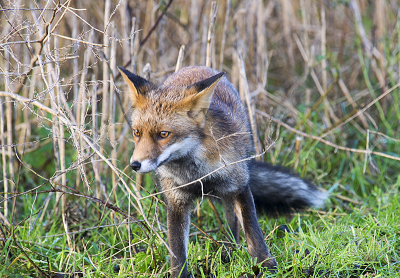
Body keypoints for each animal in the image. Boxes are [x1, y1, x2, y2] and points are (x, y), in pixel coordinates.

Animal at [117, 66, 326, 276]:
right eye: (136, 133)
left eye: (163, 134)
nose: (135, 164)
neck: (197, 174)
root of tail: (196, 67)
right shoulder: (177, 201)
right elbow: (177, 252)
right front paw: (179, 274)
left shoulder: (240, 186)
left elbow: (253, 231)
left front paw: (266, 265)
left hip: (229, 193)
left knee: (233, 225)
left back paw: (230, 253)